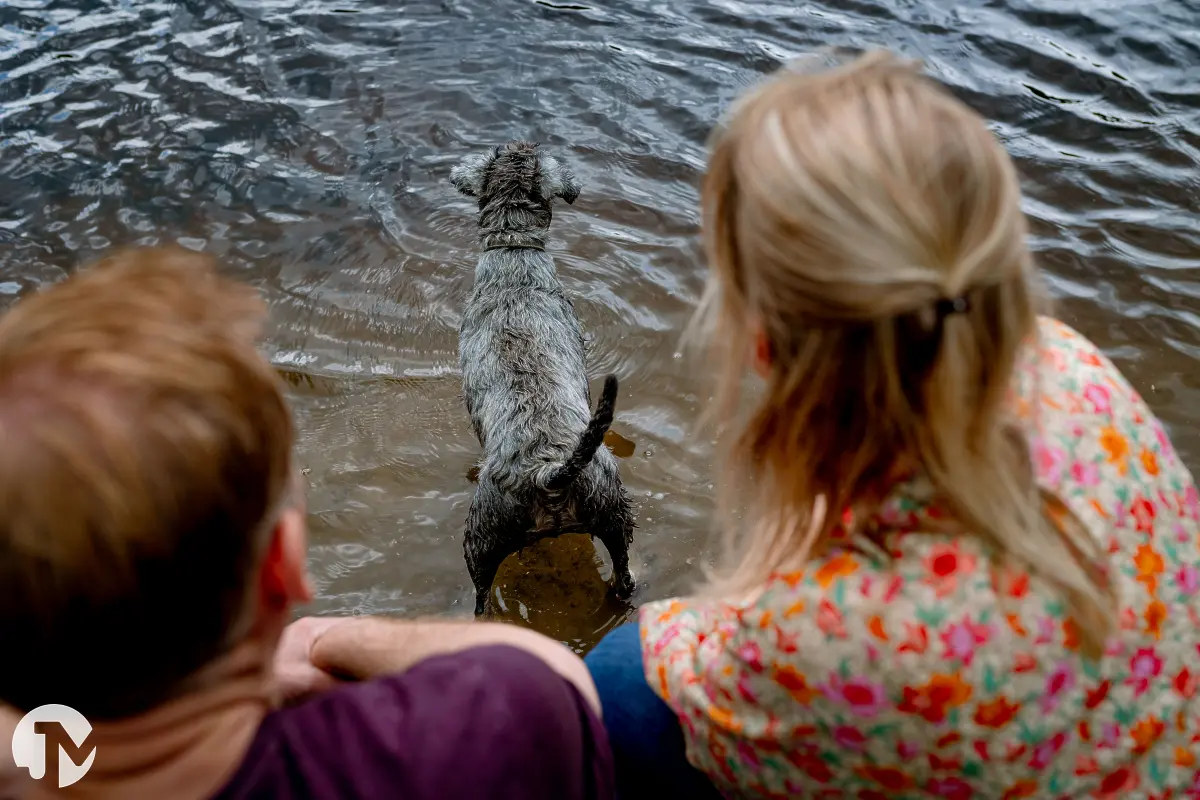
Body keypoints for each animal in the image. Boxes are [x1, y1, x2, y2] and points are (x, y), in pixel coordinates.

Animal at [451, 140, 638, 618]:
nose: (521, 144)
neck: (513, 253)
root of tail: (547, 473)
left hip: (480, 539)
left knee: (481, 596)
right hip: (614, 513)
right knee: (625, 572)